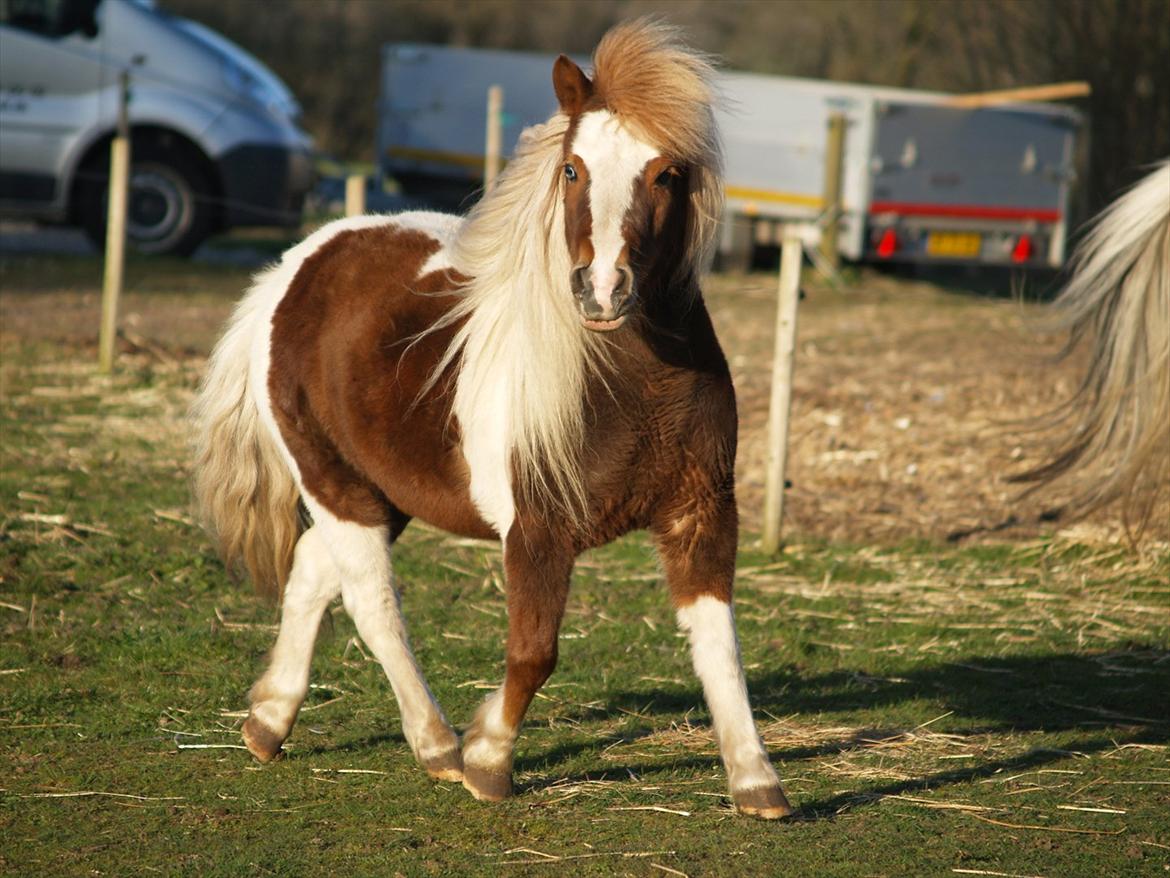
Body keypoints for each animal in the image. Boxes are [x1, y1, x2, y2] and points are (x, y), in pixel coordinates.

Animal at [191, 18, 795, 819]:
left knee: (316, 570)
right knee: (372, 603)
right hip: (335, 484)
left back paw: (269, 720)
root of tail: (292, 269)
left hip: (379, 490)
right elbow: (535, 651)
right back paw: (437, 746)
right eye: (572, 170)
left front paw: (756, 780)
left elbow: (721, 647)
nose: (603, 290)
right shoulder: (537, 532)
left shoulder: (702, 514)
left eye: (667, 174)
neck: (629, 384)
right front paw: (488, 760)